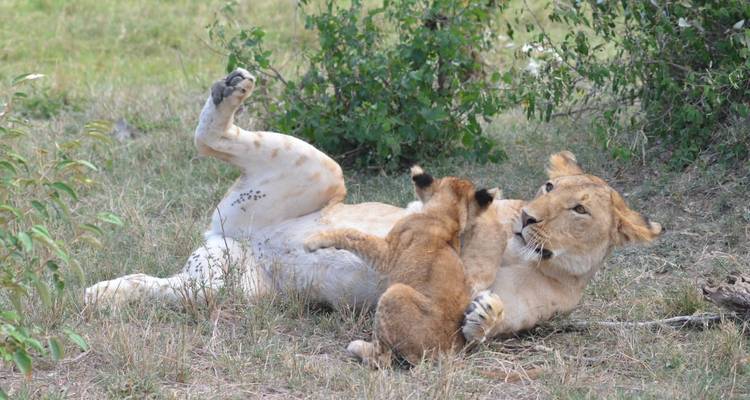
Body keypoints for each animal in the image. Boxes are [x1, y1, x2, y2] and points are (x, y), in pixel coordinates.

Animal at [84, 69, 663, 345]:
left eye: (579, 210)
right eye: (546, 186)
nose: (529, 219)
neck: (530, 258)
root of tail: (227, 239)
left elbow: (486, 314)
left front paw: (483, 314)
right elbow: (467, 221)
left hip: (227, 288)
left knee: (154, 286)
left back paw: (98, 295)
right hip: (321, 170)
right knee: (209, 137)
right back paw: (231, 87)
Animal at [304, 167, 501, 367]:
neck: (446, 217)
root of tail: (450, 352)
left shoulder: (386, 254)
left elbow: (353, 234)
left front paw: (313, 241)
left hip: (395, 293)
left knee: (382, 359)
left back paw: (357, 347)